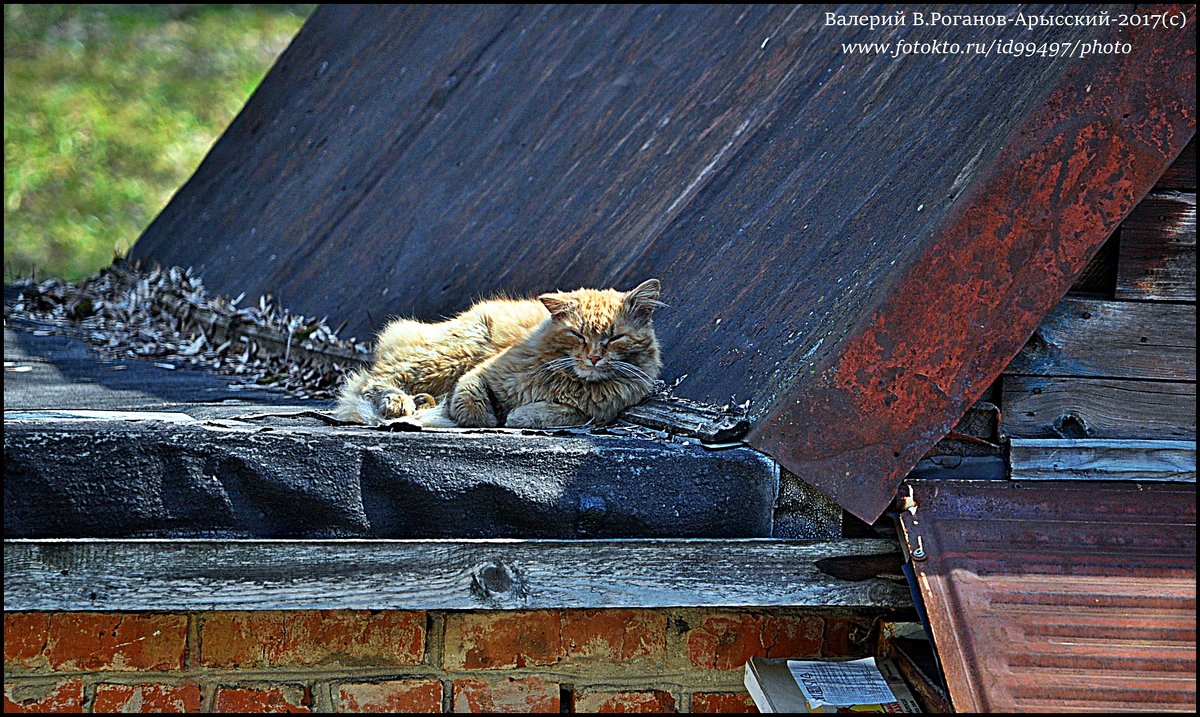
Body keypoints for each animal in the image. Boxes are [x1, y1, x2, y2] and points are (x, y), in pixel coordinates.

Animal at [333, 279, 662, 426]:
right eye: (578, 335)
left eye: (615, 338)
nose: (594, 357)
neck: (570, 381)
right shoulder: (479, 376)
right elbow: (474, 408)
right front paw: (488, 418)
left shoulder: (592, 413)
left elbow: (546, 414)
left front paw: (517, 416)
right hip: (452, 355)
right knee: (372, 380)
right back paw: (398, 403)